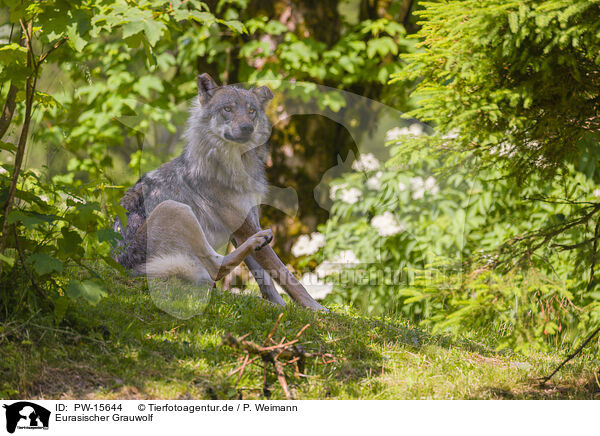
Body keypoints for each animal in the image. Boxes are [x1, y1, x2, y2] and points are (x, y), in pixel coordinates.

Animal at [114, 74, 326, 310]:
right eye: (227, 109)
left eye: (251, 111)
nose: (247, 127)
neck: (237, 166)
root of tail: (124, 266)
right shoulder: (244, 228)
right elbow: (284, 272)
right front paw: (317, 309)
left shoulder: (245, 224)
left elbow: (265, 277)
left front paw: (278, 306)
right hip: (175, 208)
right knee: (215, 268)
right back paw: (258, 240)